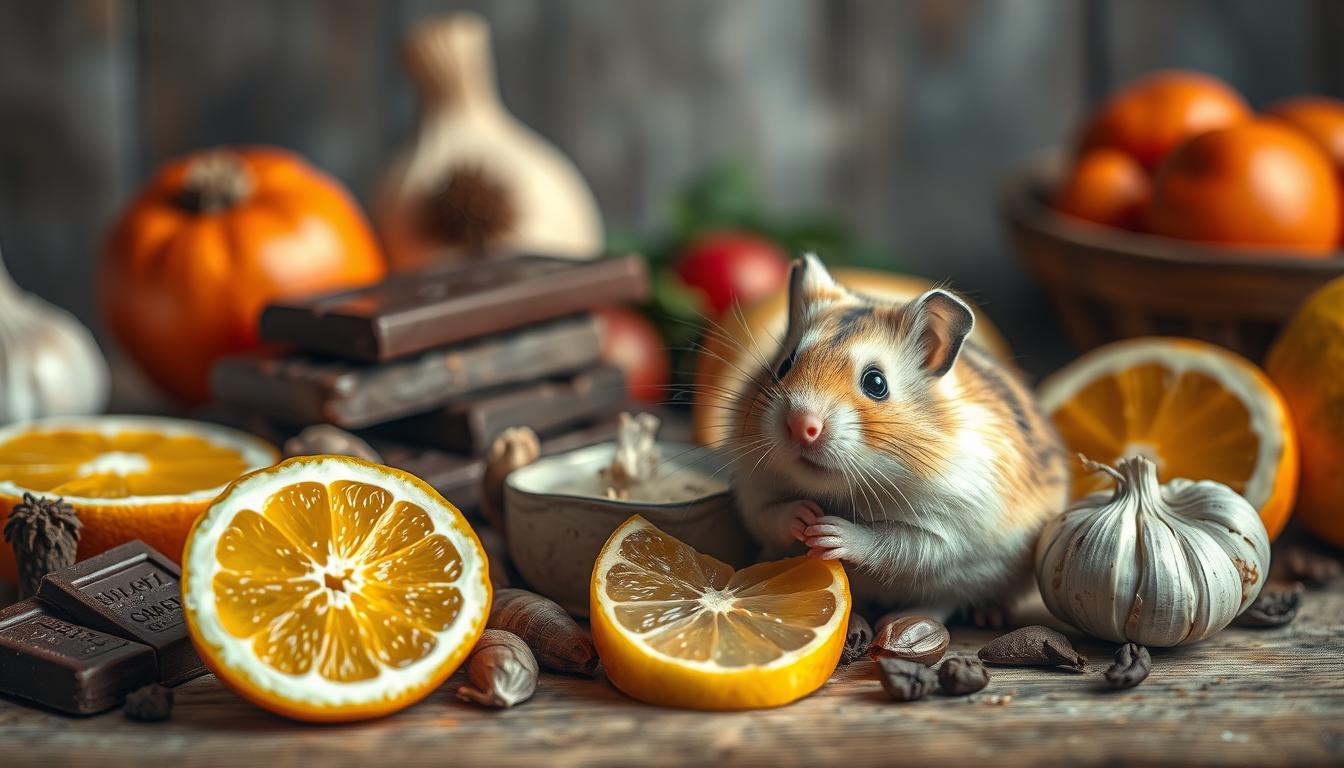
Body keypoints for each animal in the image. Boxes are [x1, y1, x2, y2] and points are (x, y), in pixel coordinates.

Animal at [726, 254, 1068, 621]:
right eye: (784, 366)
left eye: (876, 383)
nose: (802, 425)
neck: (851, 488)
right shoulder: (753, 490)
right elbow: (770, 515)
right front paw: (804, 516)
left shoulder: (947, 532)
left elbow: (893, 543)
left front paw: (828, 532)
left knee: (943, 601)